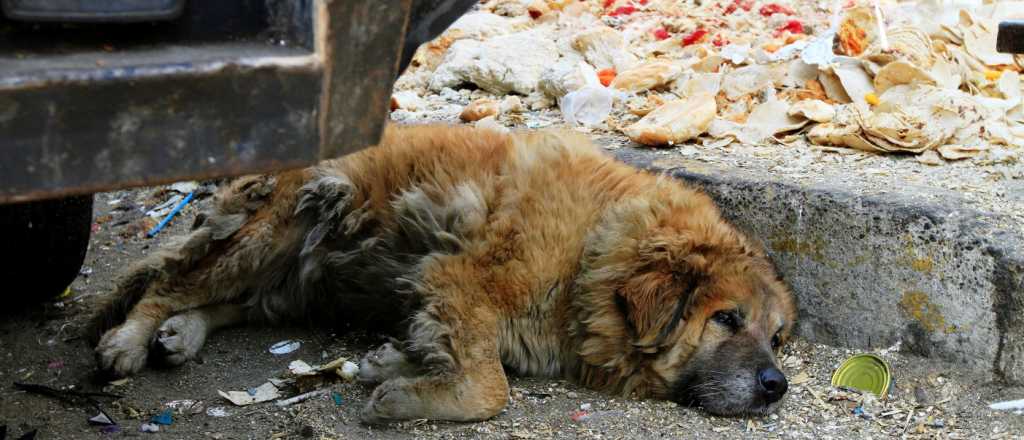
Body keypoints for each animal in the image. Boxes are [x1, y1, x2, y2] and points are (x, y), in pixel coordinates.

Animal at [90, 122, 790, 423]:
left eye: (778, 338)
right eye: (727, 319)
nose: (777, 385)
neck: (595, 253)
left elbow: (458, 354)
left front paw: (391, 365)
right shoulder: (461, 282)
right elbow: (490, 386)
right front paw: (406, 398)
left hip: (297, 278)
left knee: (223, 299)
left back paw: (182, 333)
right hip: (276, 231)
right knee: (170, 284)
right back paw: (130, 339)